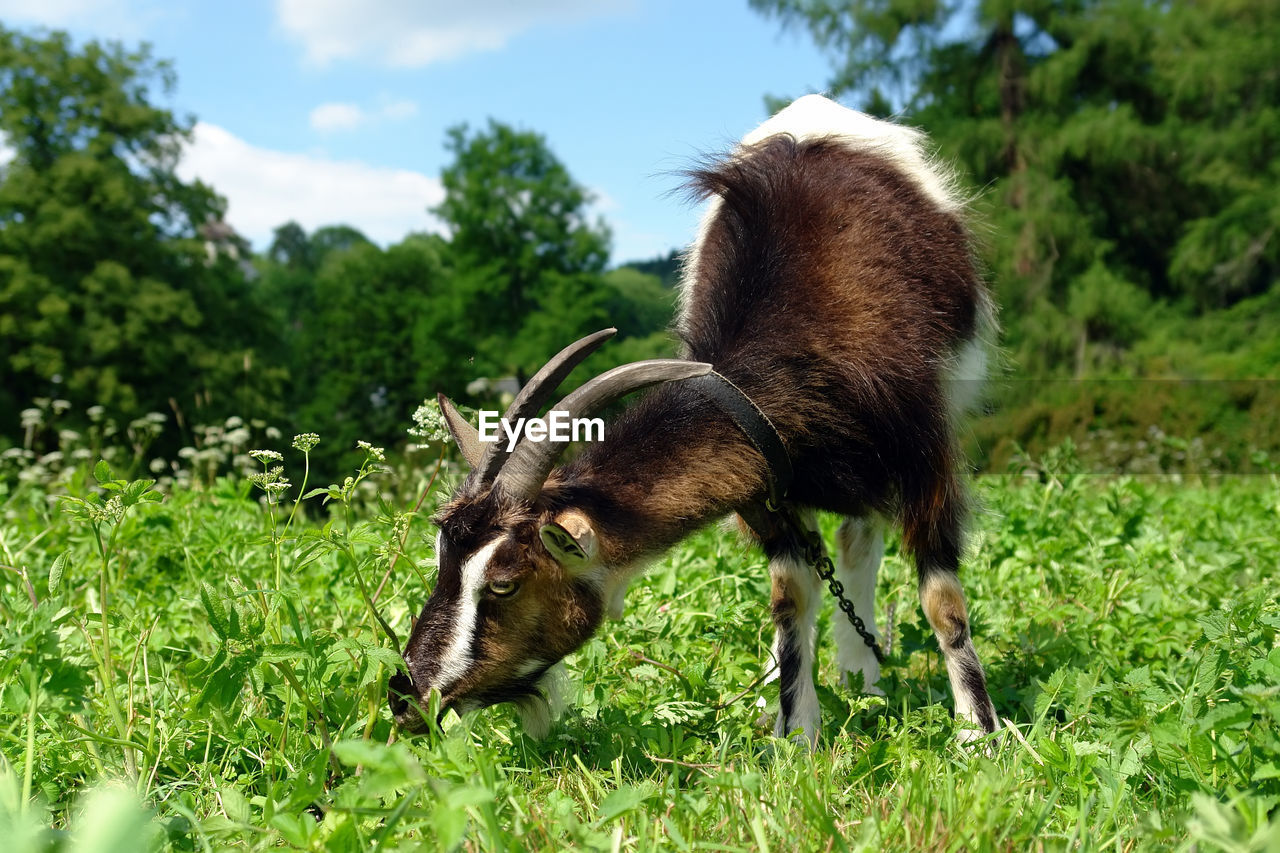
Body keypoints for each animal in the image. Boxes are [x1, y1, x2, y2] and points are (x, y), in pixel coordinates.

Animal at [389, 92, 998, 742]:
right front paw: (797, 733)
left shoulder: (924, 461)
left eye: (503, 583)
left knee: (861, 544)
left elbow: (942, 602)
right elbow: (791, 596)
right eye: (440, 562)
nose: (407, 697)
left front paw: (977, 736)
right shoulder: (768, 489)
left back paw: (866, 676)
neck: (804, 353)